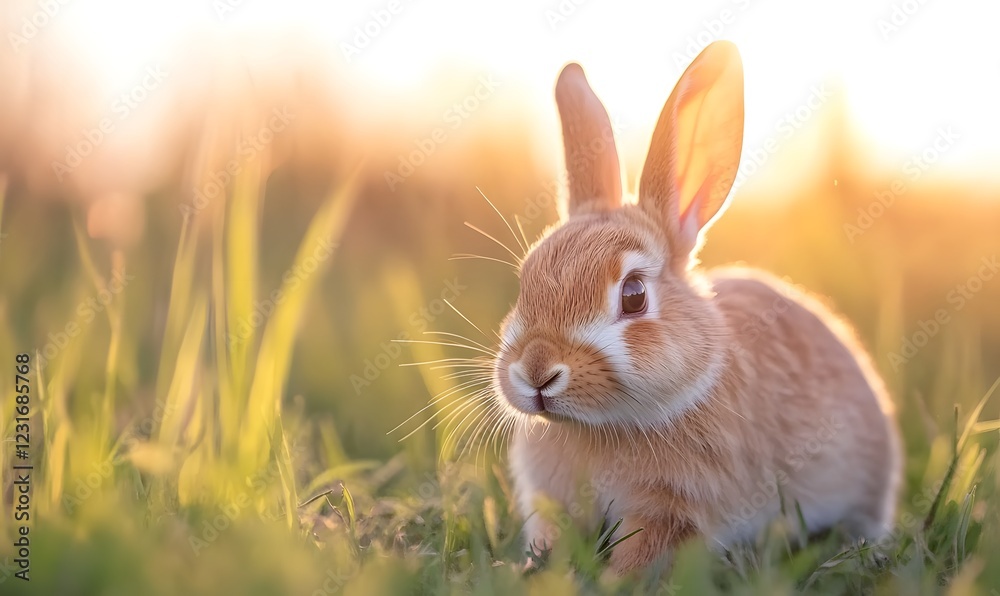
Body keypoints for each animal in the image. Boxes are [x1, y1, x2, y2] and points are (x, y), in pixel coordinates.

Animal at [492, 41, 902, 575]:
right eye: (525, 281)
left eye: (633, 294)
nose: (537, 371)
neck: (603, 426)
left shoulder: (675, 509)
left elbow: (643, 553)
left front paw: (612, 580)